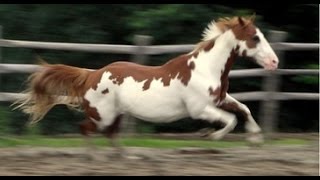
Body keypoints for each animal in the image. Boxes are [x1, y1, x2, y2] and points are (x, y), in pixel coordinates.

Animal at [12, 15, 278, 155]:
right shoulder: (199, 109)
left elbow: (244, 109)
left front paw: (255, 139)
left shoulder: (219, 99)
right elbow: (230, 120)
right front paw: (210, 135)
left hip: (114, 115)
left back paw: (121, 157)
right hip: (102, 115)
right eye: (255, 38)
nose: (274, 62)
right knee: (86, 129)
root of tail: (92, 75)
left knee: (109, 135)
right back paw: (94, 158)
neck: (205, 68)